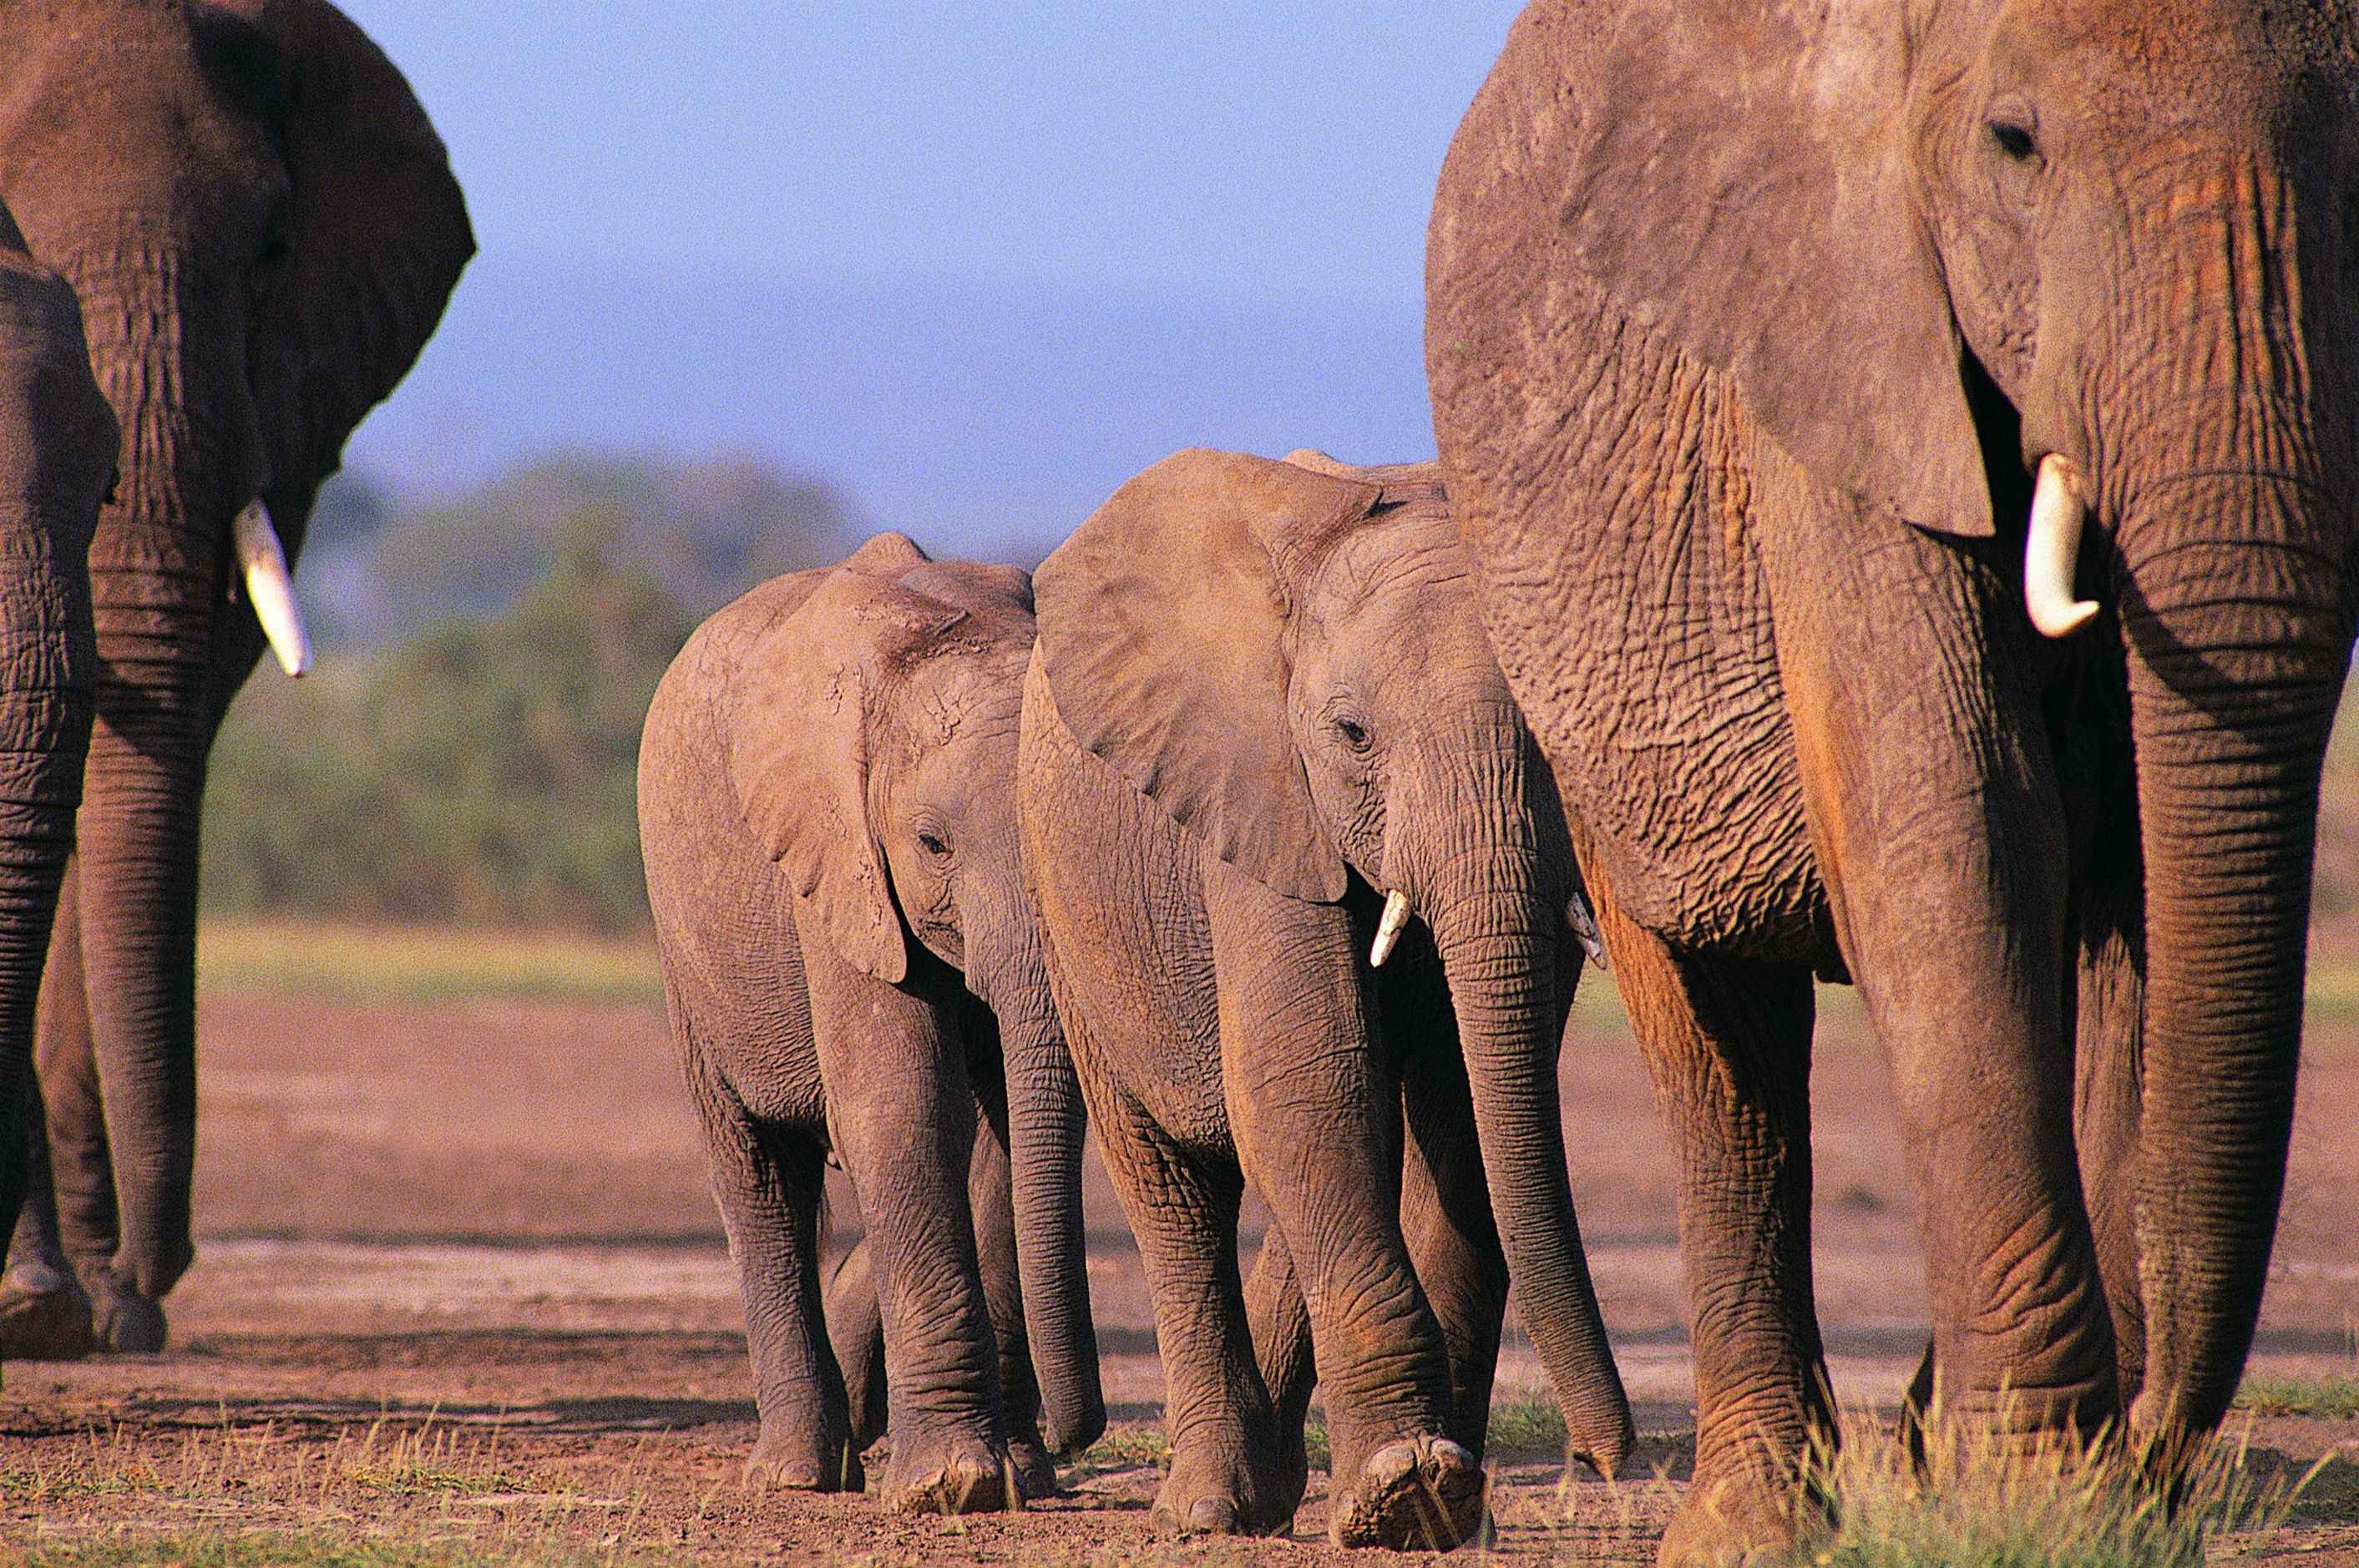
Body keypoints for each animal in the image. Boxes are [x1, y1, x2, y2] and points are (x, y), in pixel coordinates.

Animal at [637, 533, 1105, 1514]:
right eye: (931, 844)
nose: (1076, 1434)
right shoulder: (834, 863)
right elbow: (902, 1108)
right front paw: (951, 1487)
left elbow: (1001, 1134)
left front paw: (1017, 1478)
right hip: (685, 943)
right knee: (755, 1173)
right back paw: (795, 1474)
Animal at [1019, 447, 1631, 1549]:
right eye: (1350, 734)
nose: (1604, 1457)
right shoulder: (1260, 792)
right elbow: (1308, 1084)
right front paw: (1405, 1487)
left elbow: (1459, 1111)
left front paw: (1443, 1506)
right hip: (1064, 902)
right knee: (1172, 1185)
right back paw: (1210, 1506)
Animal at [1428, 0, 2359, 1558]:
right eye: (2014, 144)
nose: (2163, 1432)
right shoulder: (1838, 360)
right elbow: (1960, 820)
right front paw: (2036, 1494)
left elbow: (2129, 875)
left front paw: (2062, 1497)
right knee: (1718, 1038)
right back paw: (1758, 1518)